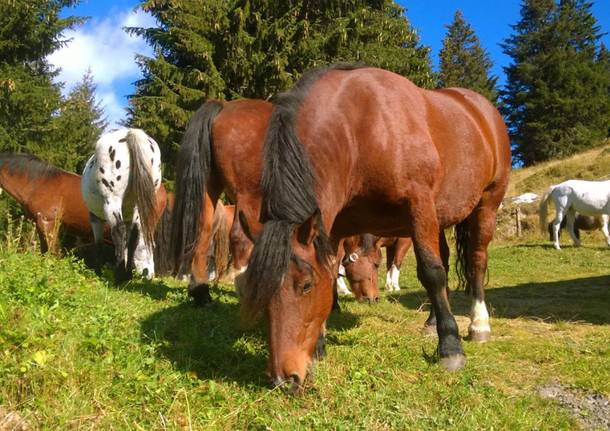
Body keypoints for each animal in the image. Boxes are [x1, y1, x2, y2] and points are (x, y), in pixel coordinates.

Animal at [83, 130, 164, 282]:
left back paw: (119, 276)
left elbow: (99, 244)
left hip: (112, 201)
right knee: (134, 235)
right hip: (137, 207)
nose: (150, 275)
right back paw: (127, 275)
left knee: (118, 231)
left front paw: (98, 271)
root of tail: (131, 133)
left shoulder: (95, 218)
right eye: (146, 249)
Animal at [240, 66, 510, 394]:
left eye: (305, 285)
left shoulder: (419, 205)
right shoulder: (335, 227)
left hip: (486, 206)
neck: (360, 130)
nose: (283, 379)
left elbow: (431, 273)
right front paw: (319, 346)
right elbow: (334, 273)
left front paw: (450, 347)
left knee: (475, 262)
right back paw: (432, 322)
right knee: (446, 261)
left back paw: (478, 323)